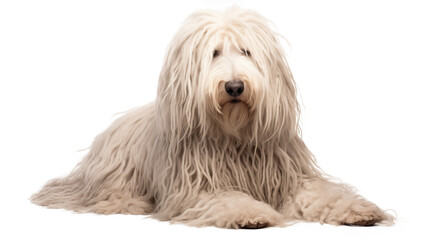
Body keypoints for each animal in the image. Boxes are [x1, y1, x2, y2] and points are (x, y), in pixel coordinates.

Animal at [32, 7, 394, 229]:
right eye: (214, 53)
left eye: (246, 51)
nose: (234, 86)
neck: (235, 137)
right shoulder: (198, 186)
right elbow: (229, 200)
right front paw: (252, 215)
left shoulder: (289, 178)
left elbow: (322, 193)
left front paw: (358, 210)